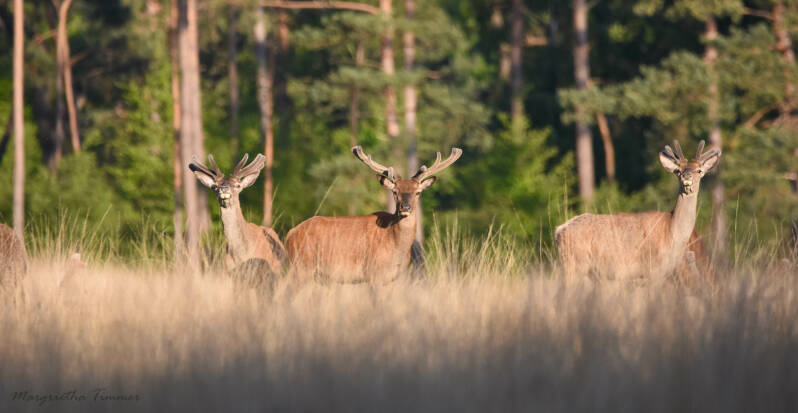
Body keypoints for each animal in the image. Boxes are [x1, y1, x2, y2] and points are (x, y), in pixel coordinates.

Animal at [284, 145, 462, 283]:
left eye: (417, 192)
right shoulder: (373, 273)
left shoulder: (393, 278)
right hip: (301, 267)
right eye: (395, 192)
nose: (405, 207)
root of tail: (289, 234)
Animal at [556, 140, 721, 282]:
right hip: (574, 264)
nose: (687, 177)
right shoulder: (653, 269)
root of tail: (558, 231)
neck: (672, 232)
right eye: (678, 171)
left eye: (699, 170)